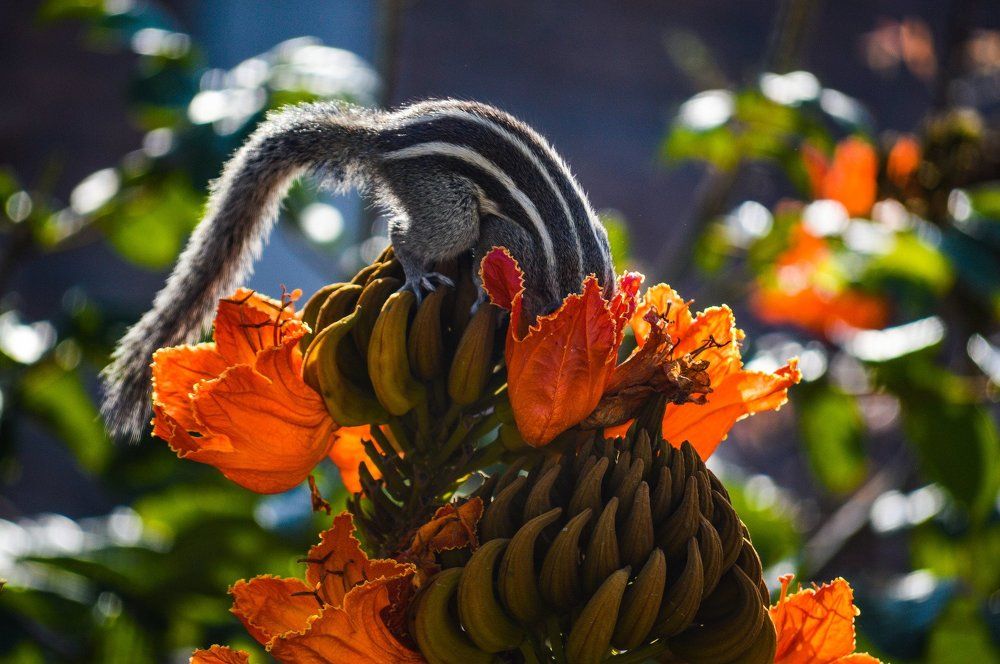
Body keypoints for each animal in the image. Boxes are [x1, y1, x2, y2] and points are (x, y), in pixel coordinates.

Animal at [101, 99, 616, 440]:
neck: (571, 268)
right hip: (449, 209)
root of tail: (381, 140)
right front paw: (491, 304)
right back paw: (416, 273)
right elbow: (493, 261)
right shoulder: (512, 243)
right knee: (403, 234)